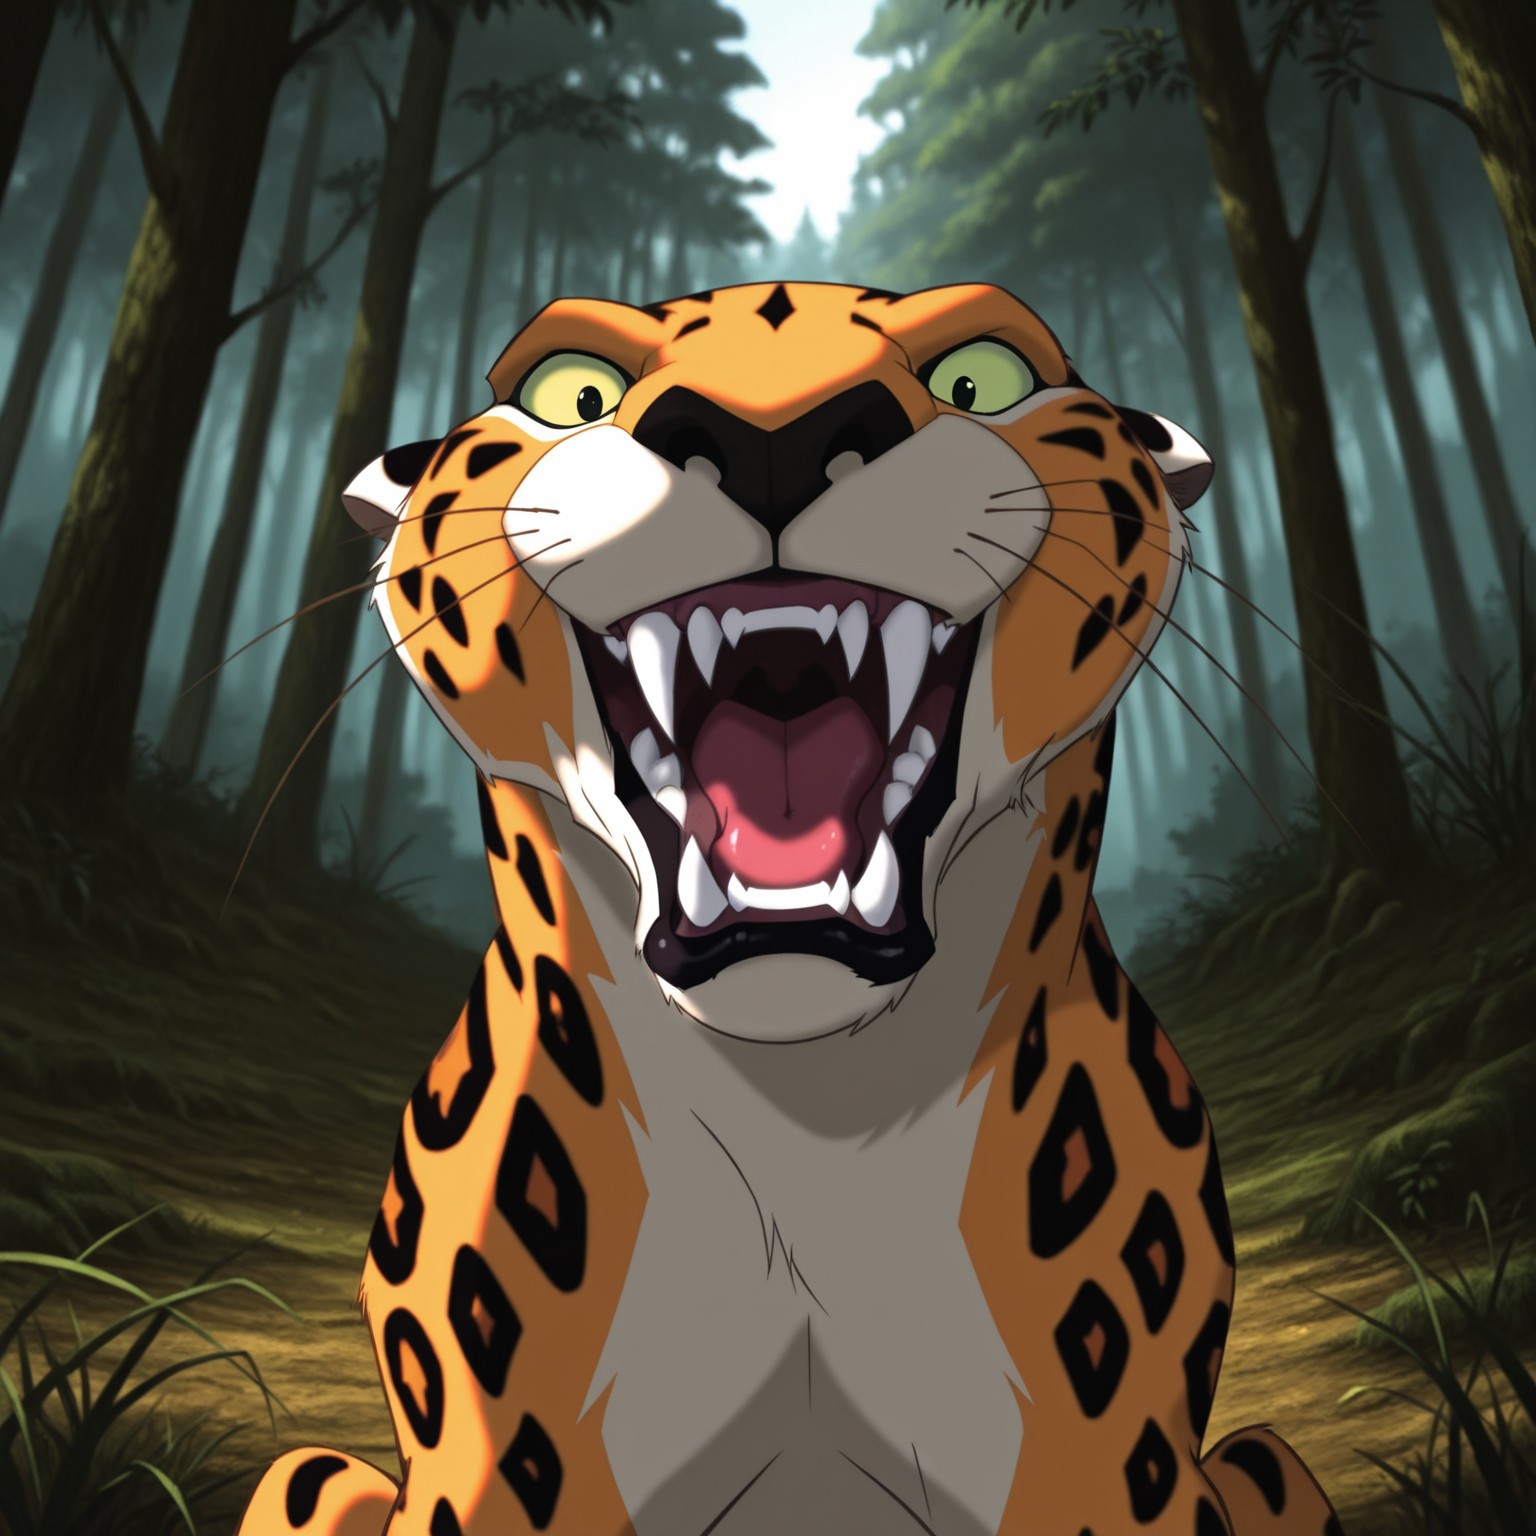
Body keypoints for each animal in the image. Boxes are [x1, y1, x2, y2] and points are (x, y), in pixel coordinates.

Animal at [236, 280, 1342, 1535]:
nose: (777, 441)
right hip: (309, 1478)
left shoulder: (1113, 1475)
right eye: (571, 390)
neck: (803, 1127)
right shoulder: (496, 1481)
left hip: (1269, 1463)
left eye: (983, 376)